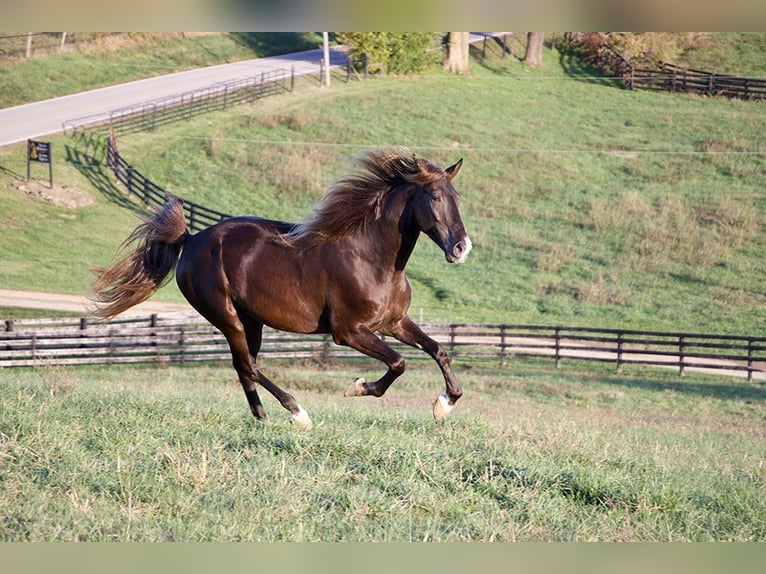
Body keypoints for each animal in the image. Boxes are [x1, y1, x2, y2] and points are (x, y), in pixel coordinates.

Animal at [91, 147, 472, 429]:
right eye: (434, 197)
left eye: (457, 197)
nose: (461, 248)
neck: (370, 257)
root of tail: (192, 240)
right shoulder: (348, 331)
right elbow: (398, 363)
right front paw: (357, 387)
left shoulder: (394, 322)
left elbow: (438, 350)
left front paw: (444, 404)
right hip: (227, 316)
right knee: (248, 365)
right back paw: (297, 413)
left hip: (251, 320)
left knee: (243, 366)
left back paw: (261, 418)